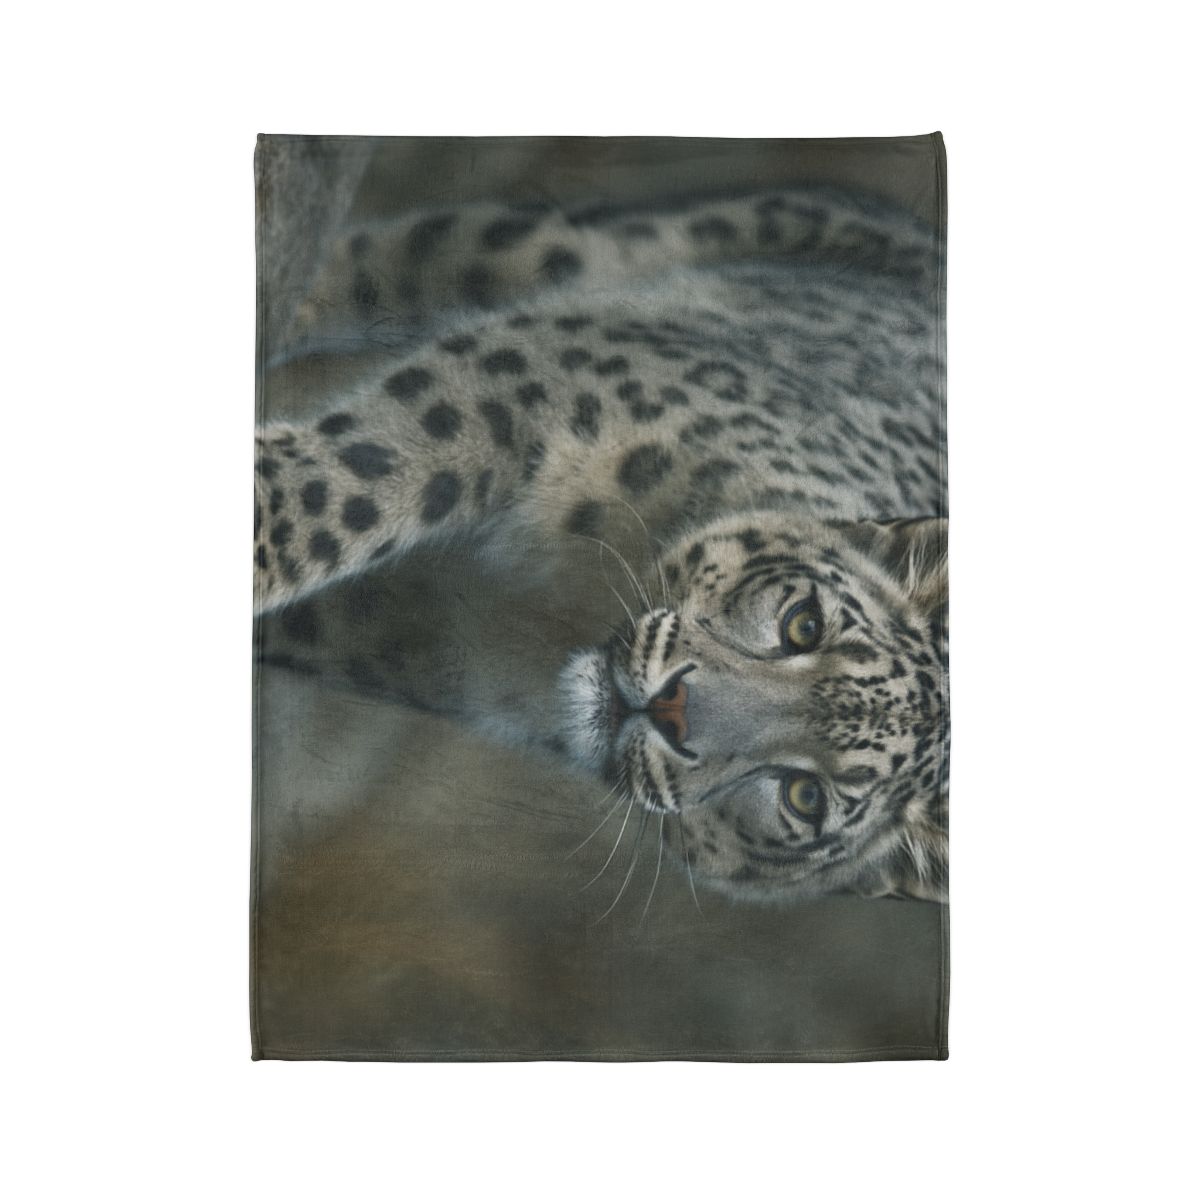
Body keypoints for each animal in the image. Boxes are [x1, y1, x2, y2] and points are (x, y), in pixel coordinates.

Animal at [254, 181, 948, 905]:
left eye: (806, 796)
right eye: (805, 624)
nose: (670, 708)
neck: (574, 591)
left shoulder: (440, 632)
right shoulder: (541, 377)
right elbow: (363, 476)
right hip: (580, 246)